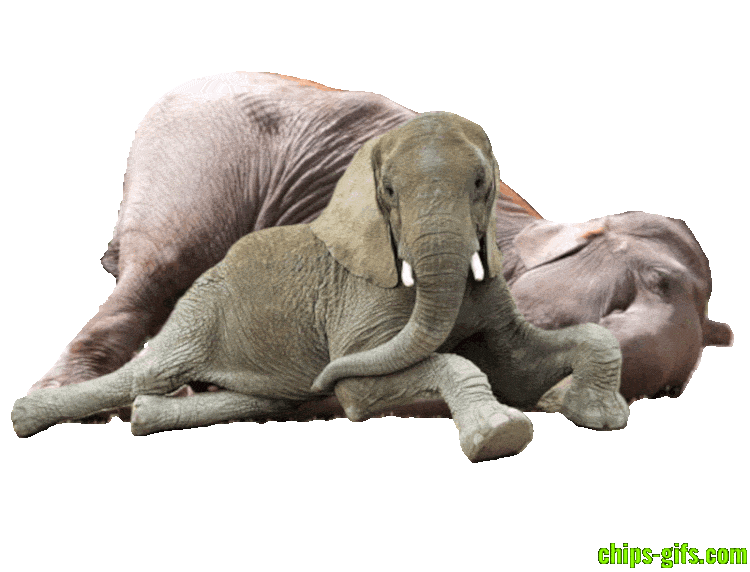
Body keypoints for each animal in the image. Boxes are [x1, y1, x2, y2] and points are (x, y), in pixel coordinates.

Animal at [13, 112, 631, 463]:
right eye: (388, 191)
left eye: (481, 183)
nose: (322, 376)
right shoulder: (362, 303)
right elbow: (369, 380)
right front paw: (501, 437)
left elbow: (530, 363)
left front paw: (599, 416)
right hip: (200, 309)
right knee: (151, 372)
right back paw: (28, 417)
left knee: (265, 399)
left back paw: (146, 417)